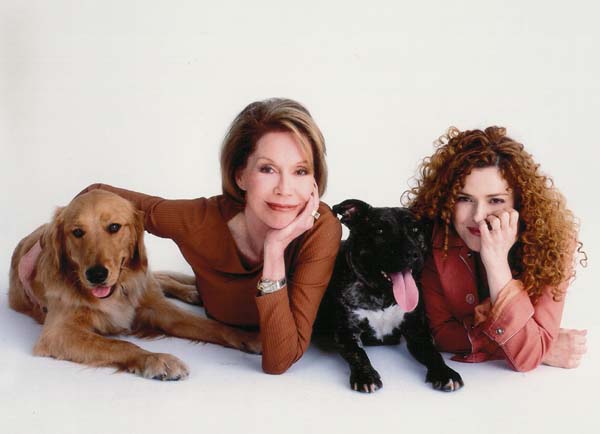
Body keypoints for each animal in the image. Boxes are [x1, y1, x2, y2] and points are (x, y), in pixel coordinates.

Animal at [318, 200, 464, 394]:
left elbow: (433, 353)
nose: (411, 254)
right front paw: (366, 376)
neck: (382, 295)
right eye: (379, 230)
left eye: (416, 229)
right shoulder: (346, 332)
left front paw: (444, 373)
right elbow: (358, 353)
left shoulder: (418, 331)